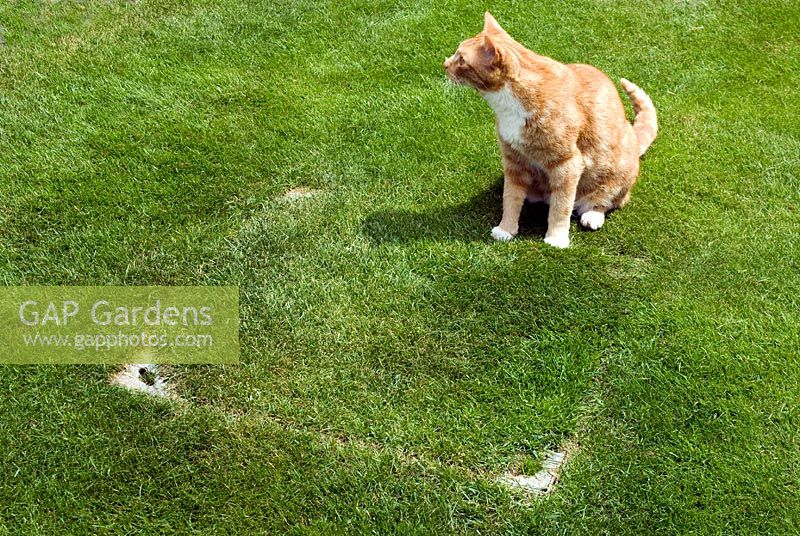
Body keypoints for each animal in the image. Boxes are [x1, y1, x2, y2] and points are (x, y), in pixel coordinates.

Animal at [444, 12, 656, 247]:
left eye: (462, 60)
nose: (444, 64)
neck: (509, 105)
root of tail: (634, 138)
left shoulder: (568, 164)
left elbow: (561, 206)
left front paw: (556, 238)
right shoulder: (513, 160)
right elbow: (511, 198)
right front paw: (506, 229)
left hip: (617, 173)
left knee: (607, 201)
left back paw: (593, 215)